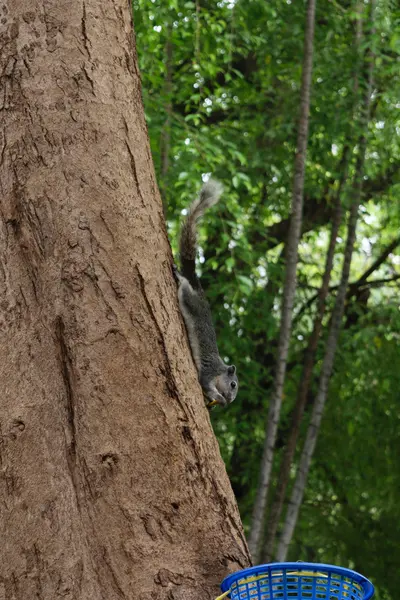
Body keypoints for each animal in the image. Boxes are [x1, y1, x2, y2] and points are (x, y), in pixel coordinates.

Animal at [174, 179, 238, 408]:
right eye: (233, 385)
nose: (230, 401)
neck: (221, 370)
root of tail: (200, 291)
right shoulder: (209, 372)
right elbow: (206, 384)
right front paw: (218, 396)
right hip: (191, 300)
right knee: (185, 290)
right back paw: (181, 278)